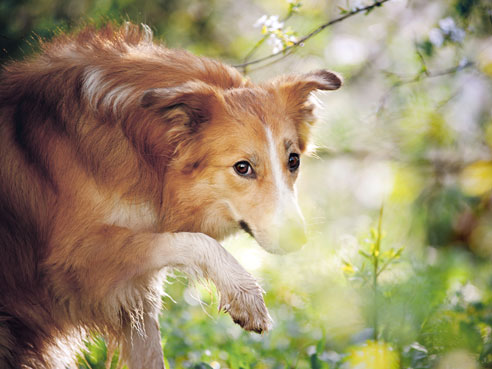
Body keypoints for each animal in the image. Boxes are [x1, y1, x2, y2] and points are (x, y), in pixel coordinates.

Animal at [0, 23, 340, 368]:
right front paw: (245, 293)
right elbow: (197, 241)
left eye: (293, 161)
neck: (141, 149)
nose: (299, 240)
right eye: (243, 167)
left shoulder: (136, 295)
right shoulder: (72, 264)